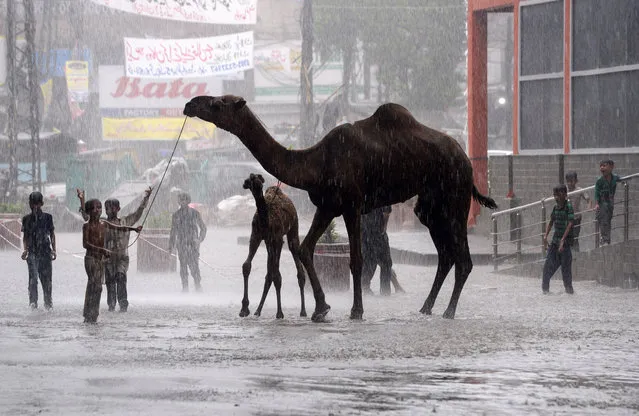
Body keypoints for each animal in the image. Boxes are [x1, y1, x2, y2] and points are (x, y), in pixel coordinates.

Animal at [242, 172, 308, 318]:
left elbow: (277, 275)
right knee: (269, 273)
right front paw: (244, 309)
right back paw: (258, 310)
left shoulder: (277, 239)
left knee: (298, 269)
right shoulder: (256, 236)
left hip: (293, 230)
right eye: (250, 180)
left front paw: (279, 313)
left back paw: (303, 311)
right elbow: (247, 266)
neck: (266, 222)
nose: (257, 188)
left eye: (259, 181)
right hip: (269, 243)